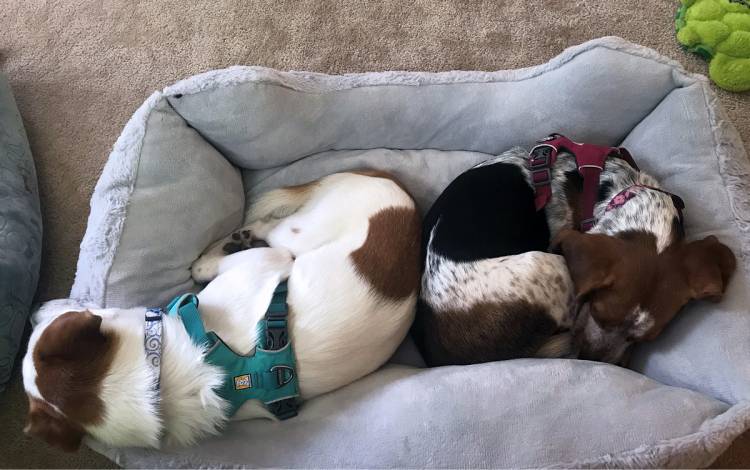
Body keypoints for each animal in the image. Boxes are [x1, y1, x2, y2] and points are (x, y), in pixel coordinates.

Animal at [22, 170, 424, 452]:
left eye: (56, 321)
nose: (34, 308)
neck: (162, 378)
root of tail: (392, 186)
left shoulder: (271, 261)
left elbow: (214, 268)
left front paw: (202, 266)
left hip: (294, 235)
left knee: (268, 226)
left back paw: (240, 236)